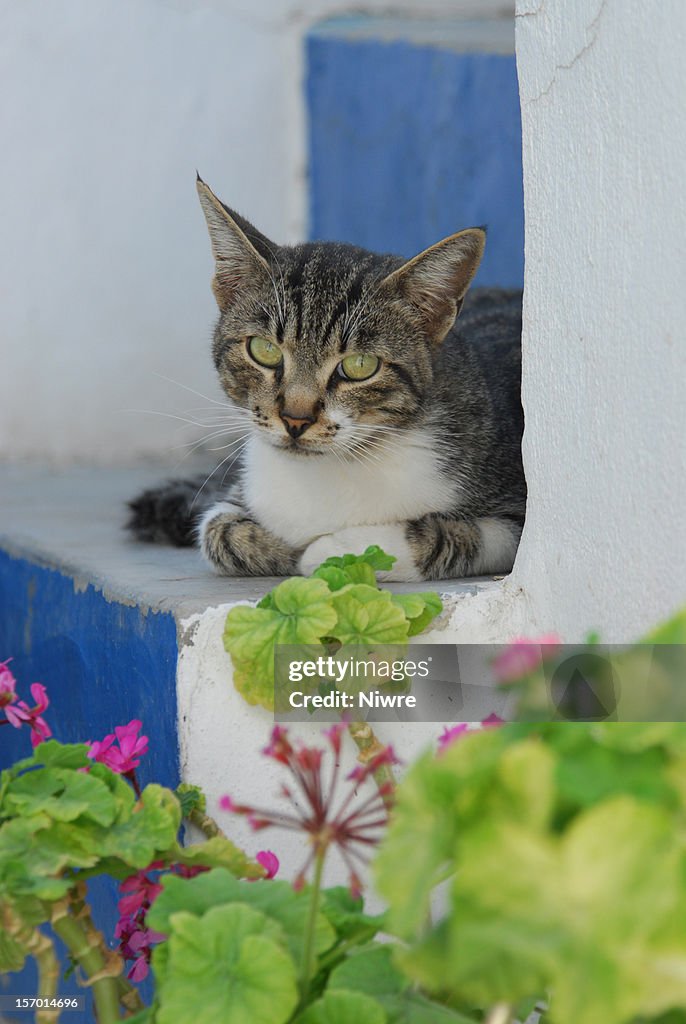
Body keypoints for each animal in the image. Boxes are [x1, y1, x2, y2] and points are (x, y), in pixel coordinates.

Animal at [129, 172, 528, 581]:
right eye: (264, 350)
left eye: (360, 365)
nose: (295, 419)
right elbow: (218, 531)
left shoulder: (517, 508)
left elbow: (452, 538)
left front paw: (331, 551)